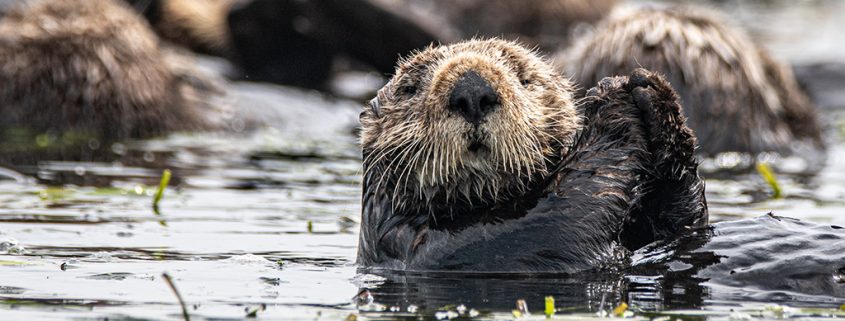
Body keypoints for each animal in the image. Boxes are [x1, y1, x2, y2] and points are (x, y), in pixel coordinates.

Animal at [356, 38, 704, 272]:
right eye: (410, 88)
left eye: (524, 78)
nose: (472, 90)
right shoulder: (429, 248)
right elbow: (558, 217)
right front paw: (610, 99)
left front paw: (655, 95)